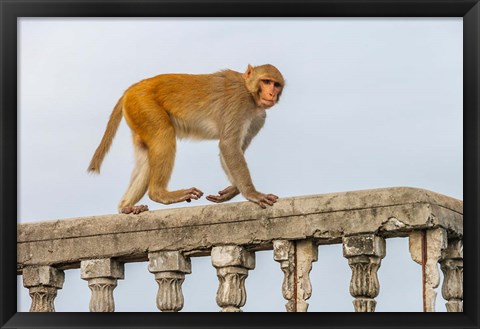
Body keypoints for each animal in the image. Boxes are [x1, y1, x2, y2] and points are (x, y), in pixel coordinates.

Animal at [88, 63, 284, 214]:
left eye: (276, 85)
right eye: (266, 81)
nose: (272, 94)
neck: (250, 93)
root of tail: (130, 90)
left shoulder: (258, 118)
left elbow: (231, 150)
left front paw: (232, 190)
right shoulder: (239, 102)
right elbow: (228, 145)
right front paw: (252, 193)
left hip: (137, 115)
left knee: (146, 157)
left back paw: (126, 207)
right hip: (144, 106)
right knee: (164, 134)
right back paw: (161, 194)